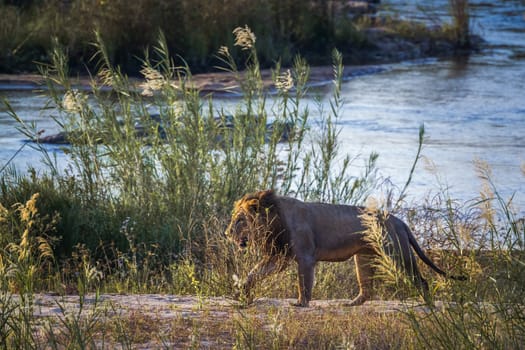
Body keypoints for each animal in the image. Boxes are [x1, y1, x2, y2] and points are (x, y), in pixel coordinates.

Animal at [225, 189, 462, 306]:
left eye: (239, 220)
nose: (227, 233)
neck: (274, 220)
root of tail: (399, 221)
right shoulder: (279, 257)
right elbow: (254, 273)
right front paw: (243, 291)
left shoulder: (305, 257)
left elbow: (303, 282)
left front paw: (301, 303)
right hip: (364, 257)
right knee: (368, 289)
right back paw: (351, 304)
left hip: (396, 255)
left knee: (421, 280)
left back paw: (426, 304)